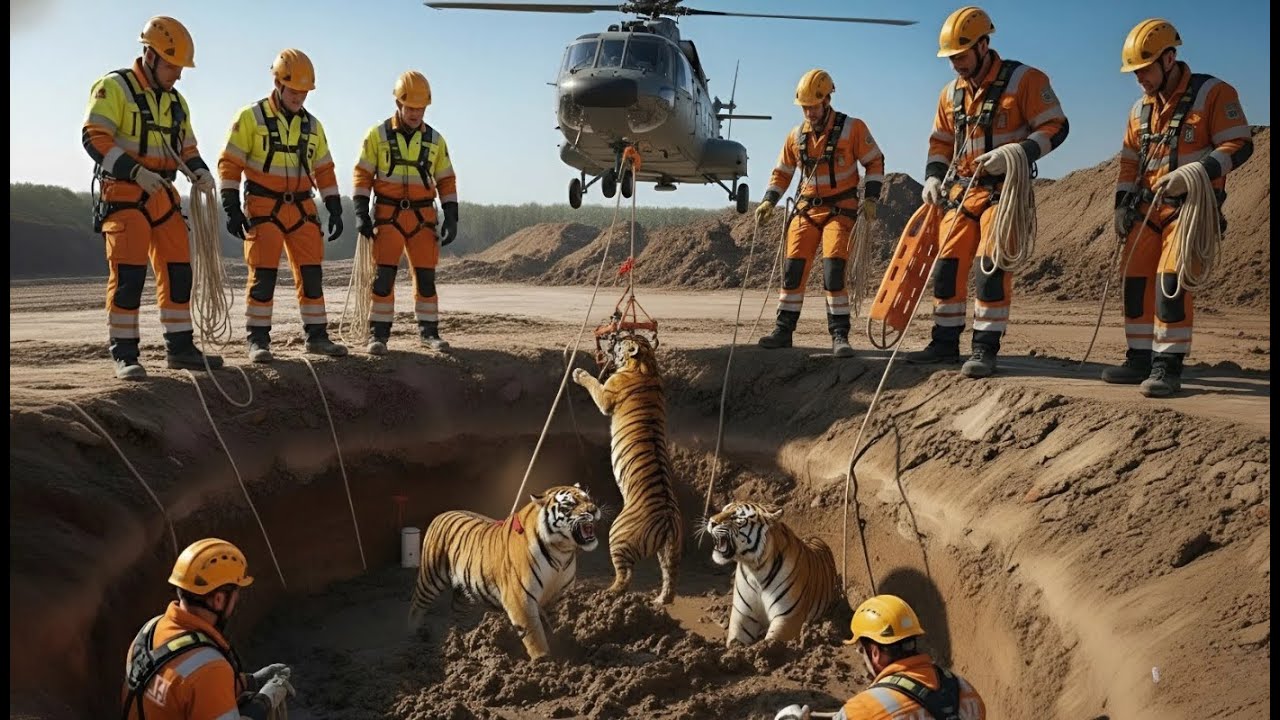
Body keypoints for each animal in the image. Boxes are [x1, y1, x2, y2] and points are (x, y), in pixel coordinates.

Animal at [406, 483, 601, 660]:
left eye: (588, 499)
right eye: (570, 504)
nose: (594, 509)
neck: (561, 552)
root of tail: (442, 513)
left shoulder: (558, 596)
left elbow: (555, 624)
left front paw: (562, 648)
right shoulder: (520, 599)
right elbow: (534, 636)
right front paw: (544, 663)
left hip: (463, 591)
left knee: (457, 614)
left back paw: (458, 641)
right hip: (430, 579)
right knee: (416, 608)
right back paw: (413, 640)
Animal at [572, 333, 683, 606]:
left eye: (624, 338)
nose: (614, 335)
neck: (646, 366)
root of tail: (667, 518)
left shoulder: (606, 394)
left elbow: (594, 383)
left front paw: (579, 373)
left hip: (618, 535)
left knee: (625, 577)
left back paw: (606, 594)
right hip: (671, 550)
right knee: (670, 578)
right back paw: (659, 601)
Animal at [706, 500, 842, 646]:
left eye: (736, 517)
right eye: (723, 509)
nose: (711, 521)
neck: (755, 570)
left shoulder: (787, 618)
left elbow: (771, 641)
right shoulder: (742, 618)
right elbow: (734, 643)